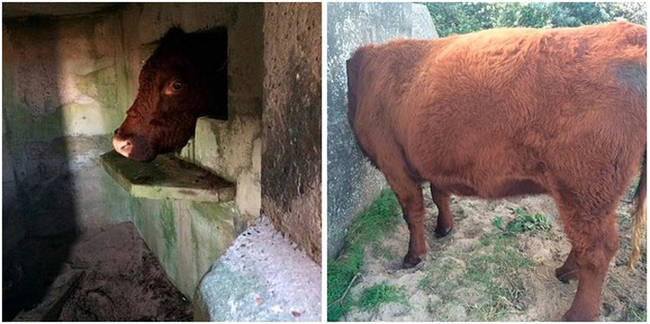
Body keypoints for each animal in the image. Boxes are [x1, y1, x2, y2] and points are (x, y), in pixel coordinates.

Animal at [346, 21, 640, 320]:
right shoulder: (436, 160)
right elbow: (440, 196)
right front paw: (444, 228)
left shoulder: (393, 164)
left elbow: (412, 212)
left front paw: (414, 256)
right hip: (584, 196)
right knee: (583, 241)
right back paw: (565, 272)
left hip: (585, 189)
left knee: (596, 249)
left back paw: (577, 313)